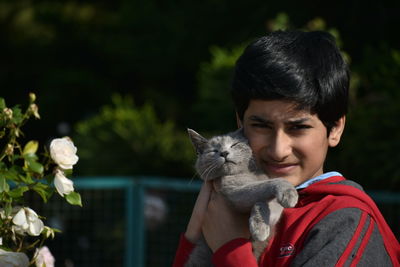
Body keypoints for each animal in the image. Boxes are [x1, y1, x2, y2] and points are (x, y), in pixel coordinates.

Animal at [185, 128, 296, 266]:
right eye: (214, 150)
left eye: (234, 145)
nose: (224, 153)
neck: (247, 174)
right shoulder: (233, 191)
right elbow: (264, 188)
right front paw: (260, 229)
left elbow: (271, 202)